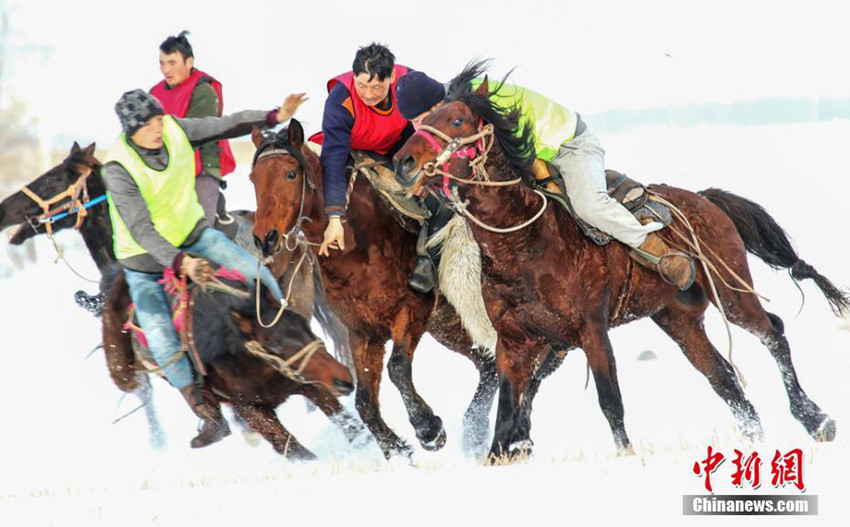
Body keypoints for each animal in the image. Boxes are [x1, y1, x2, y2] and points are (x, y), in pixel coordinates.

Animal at [248, 122, 500, 458]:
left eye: (291, 174)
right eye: (254, 178)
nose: (265, 239)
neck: (356, 245)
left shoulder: (410, 309)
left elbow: (397, 368)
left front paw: (428, 428)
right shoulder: (362, 332)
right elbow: (365, 402)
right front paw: (395, 446)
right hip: (449, 324)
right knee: (488, 364)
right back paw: (475, 430)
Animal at [394, 66, 844, 460]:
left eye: (456, 119)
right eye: (420, 121)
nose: (404, 163)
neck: (524, 243)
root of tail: (706, 199)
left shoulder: (592, 329)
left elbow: (610, 400)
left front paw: (626, 456)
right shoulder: (514, 341)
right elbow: (506, 413)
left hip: (732, 294)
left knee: (773, 333)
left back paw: (817, 420)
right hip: (677, 317)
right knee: (722, 377)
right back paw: (756, 440)